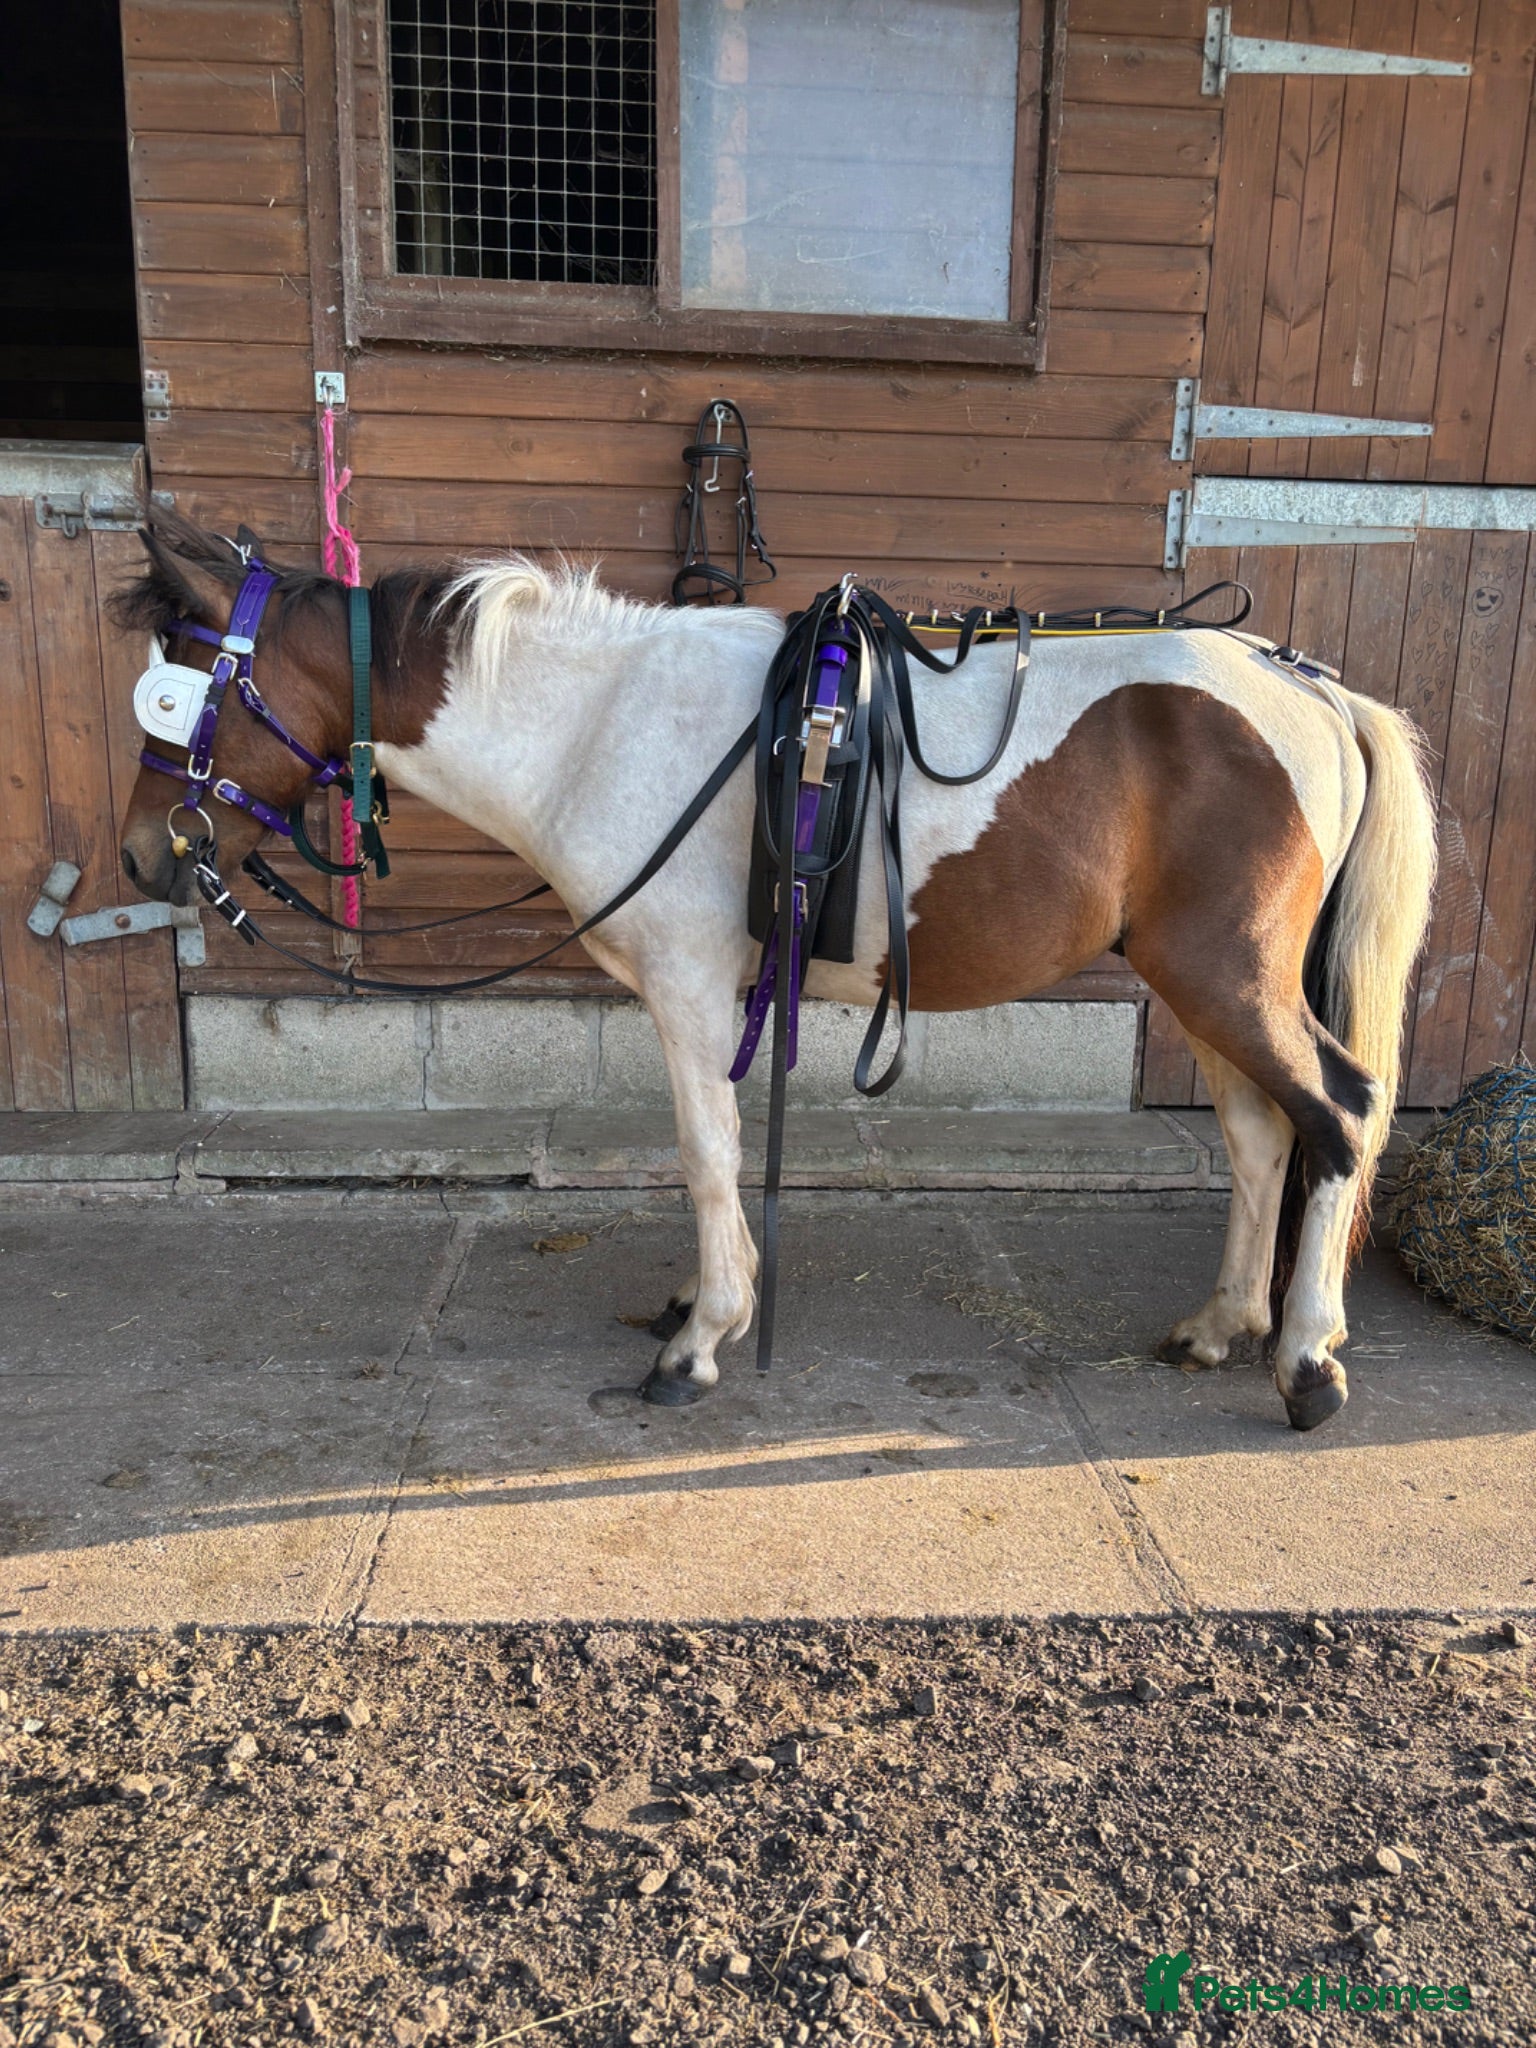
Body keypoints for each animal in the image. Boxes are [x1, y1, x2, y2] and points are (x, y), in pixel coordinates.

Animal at [113, 506, 1437, 1429]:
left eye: (177, 694)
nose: (139, 851)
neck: (599, 724)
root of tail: (1309, 687)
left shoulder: (690, 991)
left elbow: (706, 1156)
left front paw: (703, 1338)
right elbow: (720, 1157)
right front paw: (715, 1301)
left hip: (1226, 975)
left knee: (1340, 1114)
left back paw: (1308, 1359)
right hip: (1200, 983)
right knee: (1262, 1137)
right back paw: (1225, 1323)